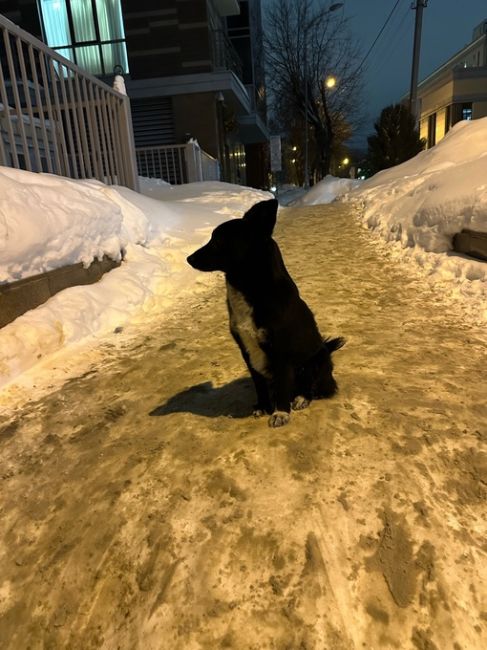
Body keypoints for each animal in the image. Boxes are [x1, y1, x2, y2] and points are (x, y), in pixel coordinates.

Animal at [187, 197, 344, 426]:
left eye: (218, 240)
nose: (188, 258)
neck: (252, 287)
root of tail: (325, 349)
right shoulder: (247, 350)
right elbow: (259, 384)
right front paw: (262, 406)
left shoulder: (281, 353)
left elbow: (283, 386)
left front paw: (280, 412)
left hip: (315, 361)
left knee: (313, 388)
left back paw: (301, 398)